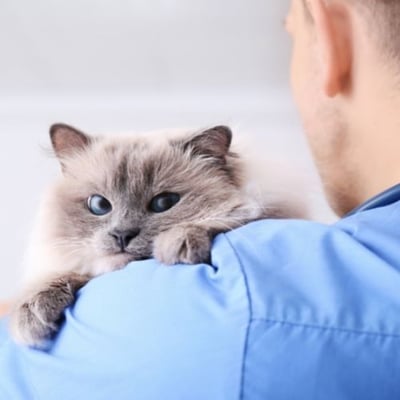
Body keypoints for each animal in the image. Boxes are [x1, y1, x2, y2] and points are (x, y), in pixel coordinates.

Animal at [9, 124, 306, 346]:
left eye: (163, 203)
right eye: (100, 205)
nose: (122, 235)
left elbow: (230, 216)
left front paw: (177, 244)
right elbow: (60, 276)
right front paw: (31, 314)